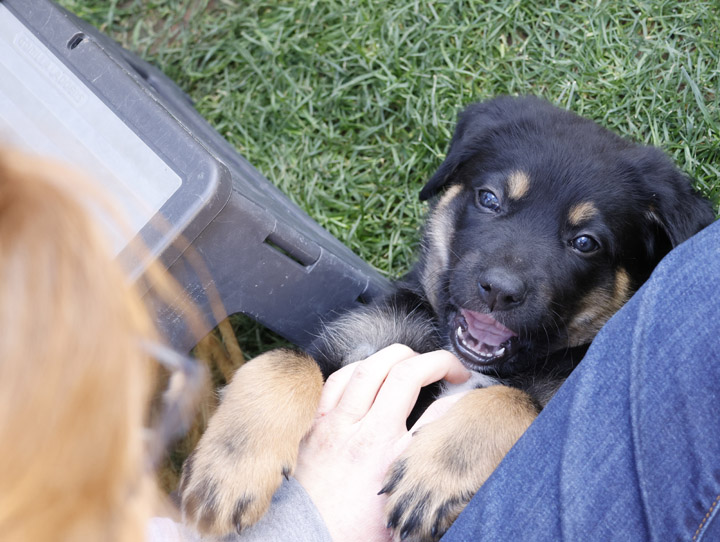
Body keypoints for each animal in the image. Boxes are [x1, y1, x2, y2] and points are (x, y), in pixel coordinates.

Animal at [180, 95, 716, 540]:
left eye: (585, 242)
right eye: (490, 199)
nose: (499, 290)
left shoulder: (558, 390)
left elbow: (513, 400)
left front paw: (436, 471)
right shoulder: (363, 341)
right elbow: (283, 361)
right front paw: (228, 470)